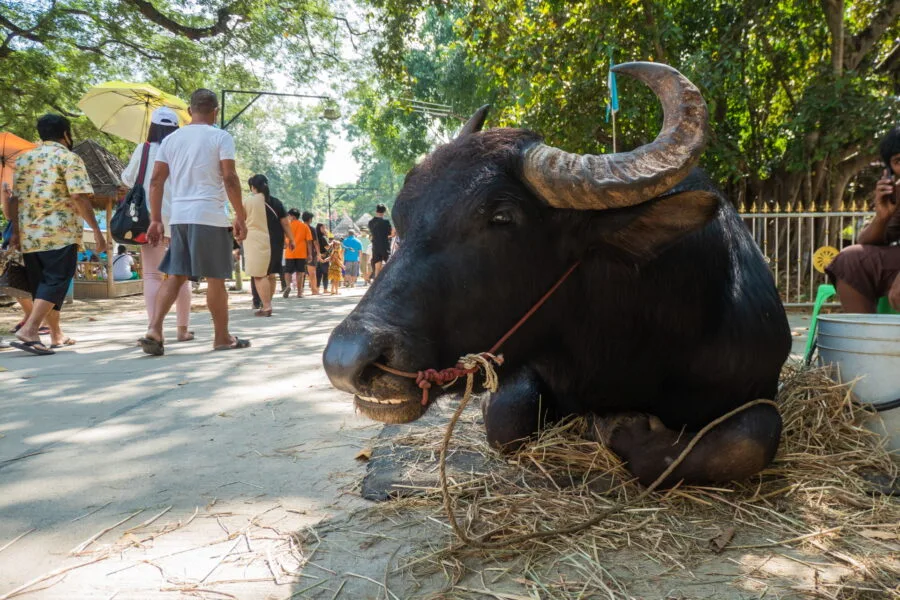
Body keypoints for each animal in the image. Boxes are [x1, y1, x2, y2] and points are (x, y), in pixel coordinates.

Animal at [323, 62, 791, 486]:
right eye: (402, 214)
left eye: (501, 217)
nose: (346, 361)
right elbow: (506, 421)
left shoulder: (758, 387)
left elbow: (749, 442)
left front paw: (622, 427)